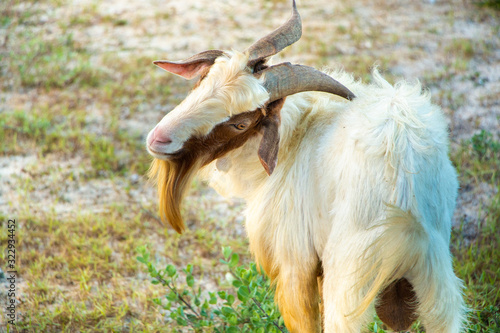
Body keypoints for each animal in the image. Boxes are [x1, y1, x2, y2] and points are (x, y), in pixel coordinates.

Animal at [145, 1, 464, 330]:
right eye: (201, 83)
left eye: (240, 123)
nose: (159, 139)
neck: (294, 137)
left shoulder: (295, 260)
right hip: (436, 290)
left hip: (350, 283)